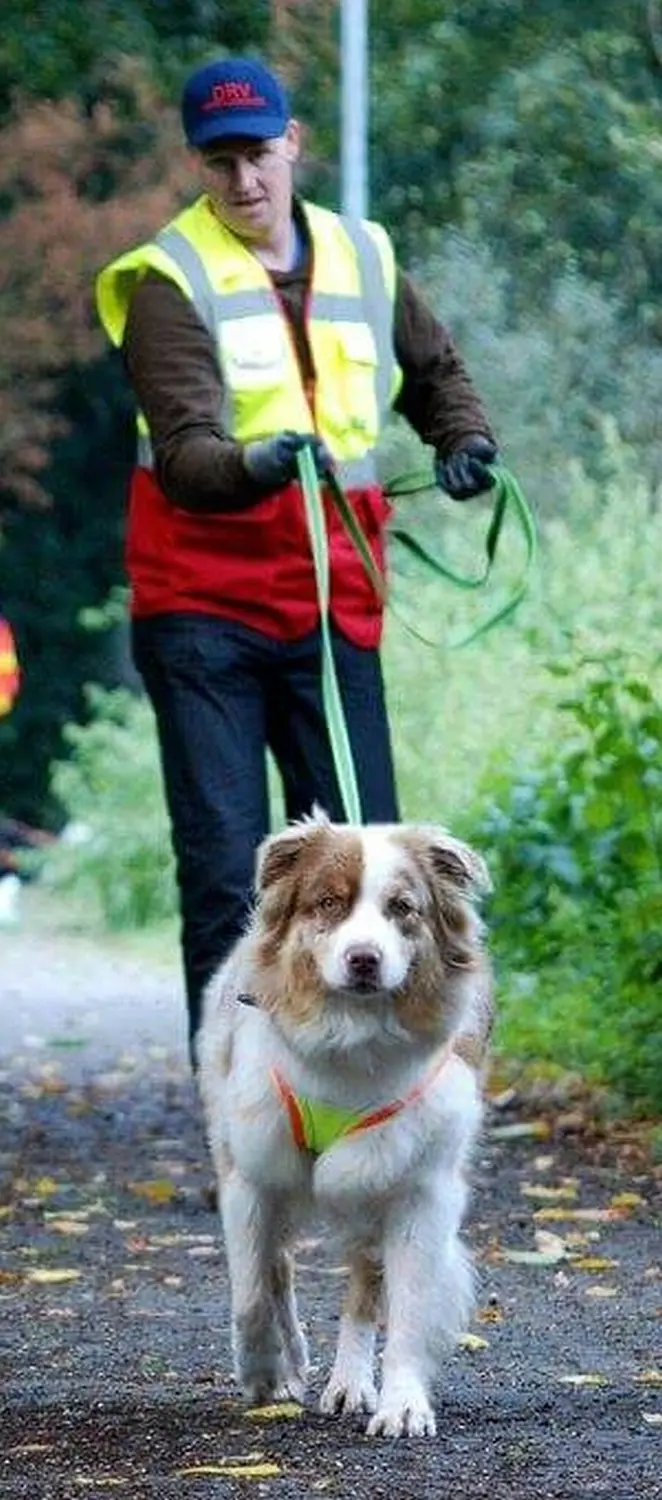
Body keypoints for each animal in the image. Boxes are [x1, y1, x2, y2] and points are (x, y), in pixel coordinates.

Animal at [198, 816, 492, 1434]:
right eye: (329, 903)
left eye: (403, 907)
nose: (364, 959)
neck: (353, 1038)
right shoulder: (251, 1172)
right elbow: (252, 1291)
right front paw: (264, 1372)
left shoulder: (418, 1186)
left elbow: (407, 1305)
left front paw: (402, 1404)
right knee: (277, 1266)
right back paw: (292, 1363)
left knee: (362, 1283)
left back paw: (350, 1383)